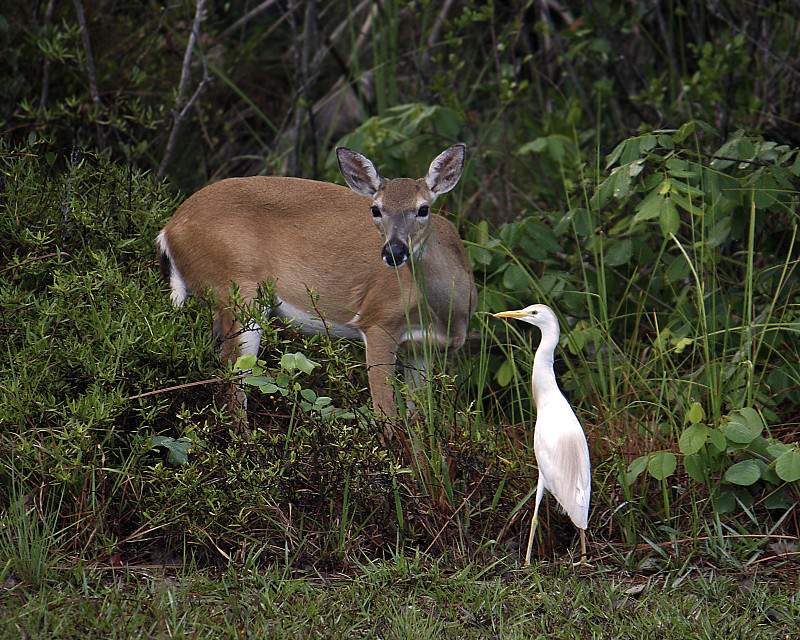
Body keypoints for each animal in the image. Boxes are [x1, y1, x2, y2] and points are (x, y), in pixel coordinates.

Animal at [159, 142, 478, 418]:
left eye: (423, 209)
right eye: (376, 209)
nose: (394, 251)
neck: (446, 313)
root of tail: (169, 229)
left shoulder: (423, 349)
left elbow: (421, 421)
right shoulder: (379, 321)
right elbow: (386, 414)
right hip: (238, 291)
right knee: (233, 385)